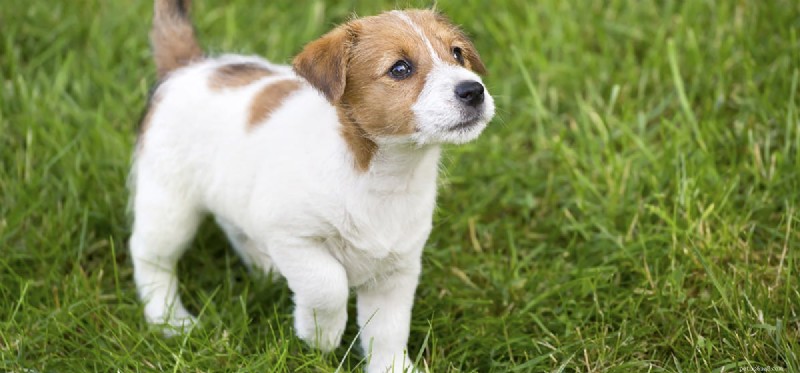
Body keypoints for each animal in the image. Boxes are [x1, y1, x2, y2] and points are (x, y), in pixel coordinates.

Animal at [130, 1, 494, 370]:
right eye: (400, 68)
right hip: (169, 207)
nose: (473, 91)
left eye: (457, 53)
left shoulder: (397, 269)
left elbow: (389, 329)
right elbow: (328, 285)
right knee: (150, 257)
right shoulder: (293, 237)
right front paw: (321, 335)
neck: (382, 174)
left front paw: (391, 366)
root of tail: (188, 68)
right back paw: (169, 318)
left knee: (234, 226)